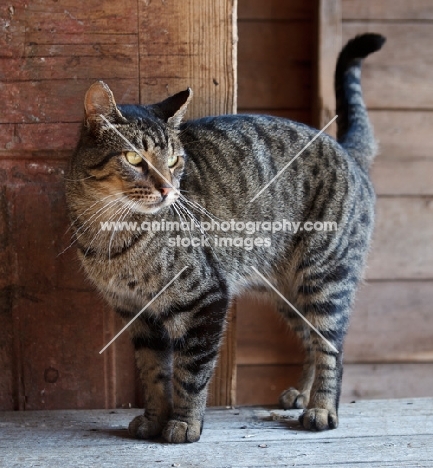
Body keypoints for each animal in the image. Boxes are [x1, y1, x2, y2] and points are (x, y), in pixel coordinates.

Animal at [65, 33, 384, 442]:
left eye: (174, 161)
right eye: (134, 159)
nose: (168, 189)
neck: (114, 232)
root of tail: (347, 151)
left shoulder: (206, 299)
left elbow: (190, 374)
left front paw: (184, 423)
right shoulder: (139, 317)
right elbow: (153, 374)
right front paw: (154, 418)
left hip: (323, 278)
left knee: (332, 347)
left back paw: (321, 408)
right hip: (291, 294)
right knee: (312, 340)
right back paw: (302, 394)